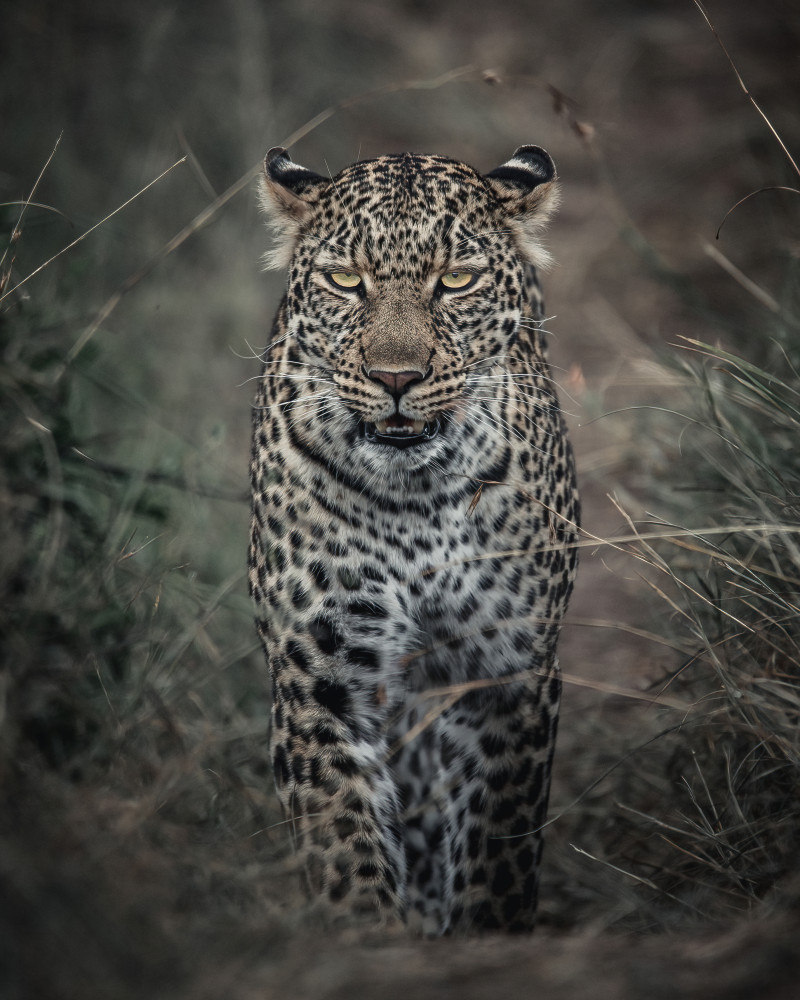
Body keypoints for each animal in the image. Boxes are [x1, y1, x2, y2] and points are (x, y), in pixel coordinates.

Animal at [248, 143, 579, 935]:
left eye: (455, 280)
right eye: (345, 280)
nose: (395, 378)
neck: (415, 499)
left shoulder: (508, 670)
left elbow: (498, 845)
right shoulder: (321, 677)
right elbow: (344, 841)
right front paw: (368, 936)